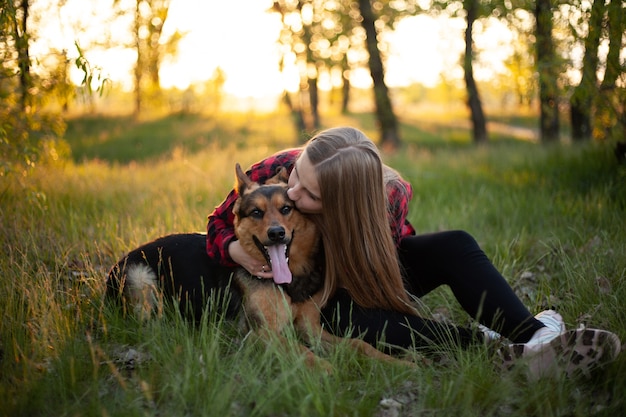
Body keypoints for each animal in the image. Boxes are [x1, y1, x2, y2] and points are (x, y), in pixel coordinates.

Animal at [106, 162, 410, 368]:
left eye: (286, 208)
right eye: (256, 213)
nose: (276, 233)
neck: (289, 281)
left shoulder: (309, 327)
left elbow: (357, 343)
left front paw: (396, 362)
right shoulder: (263, 334)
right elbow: (304, 352)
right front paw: (328, 370)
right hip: (141, 278)